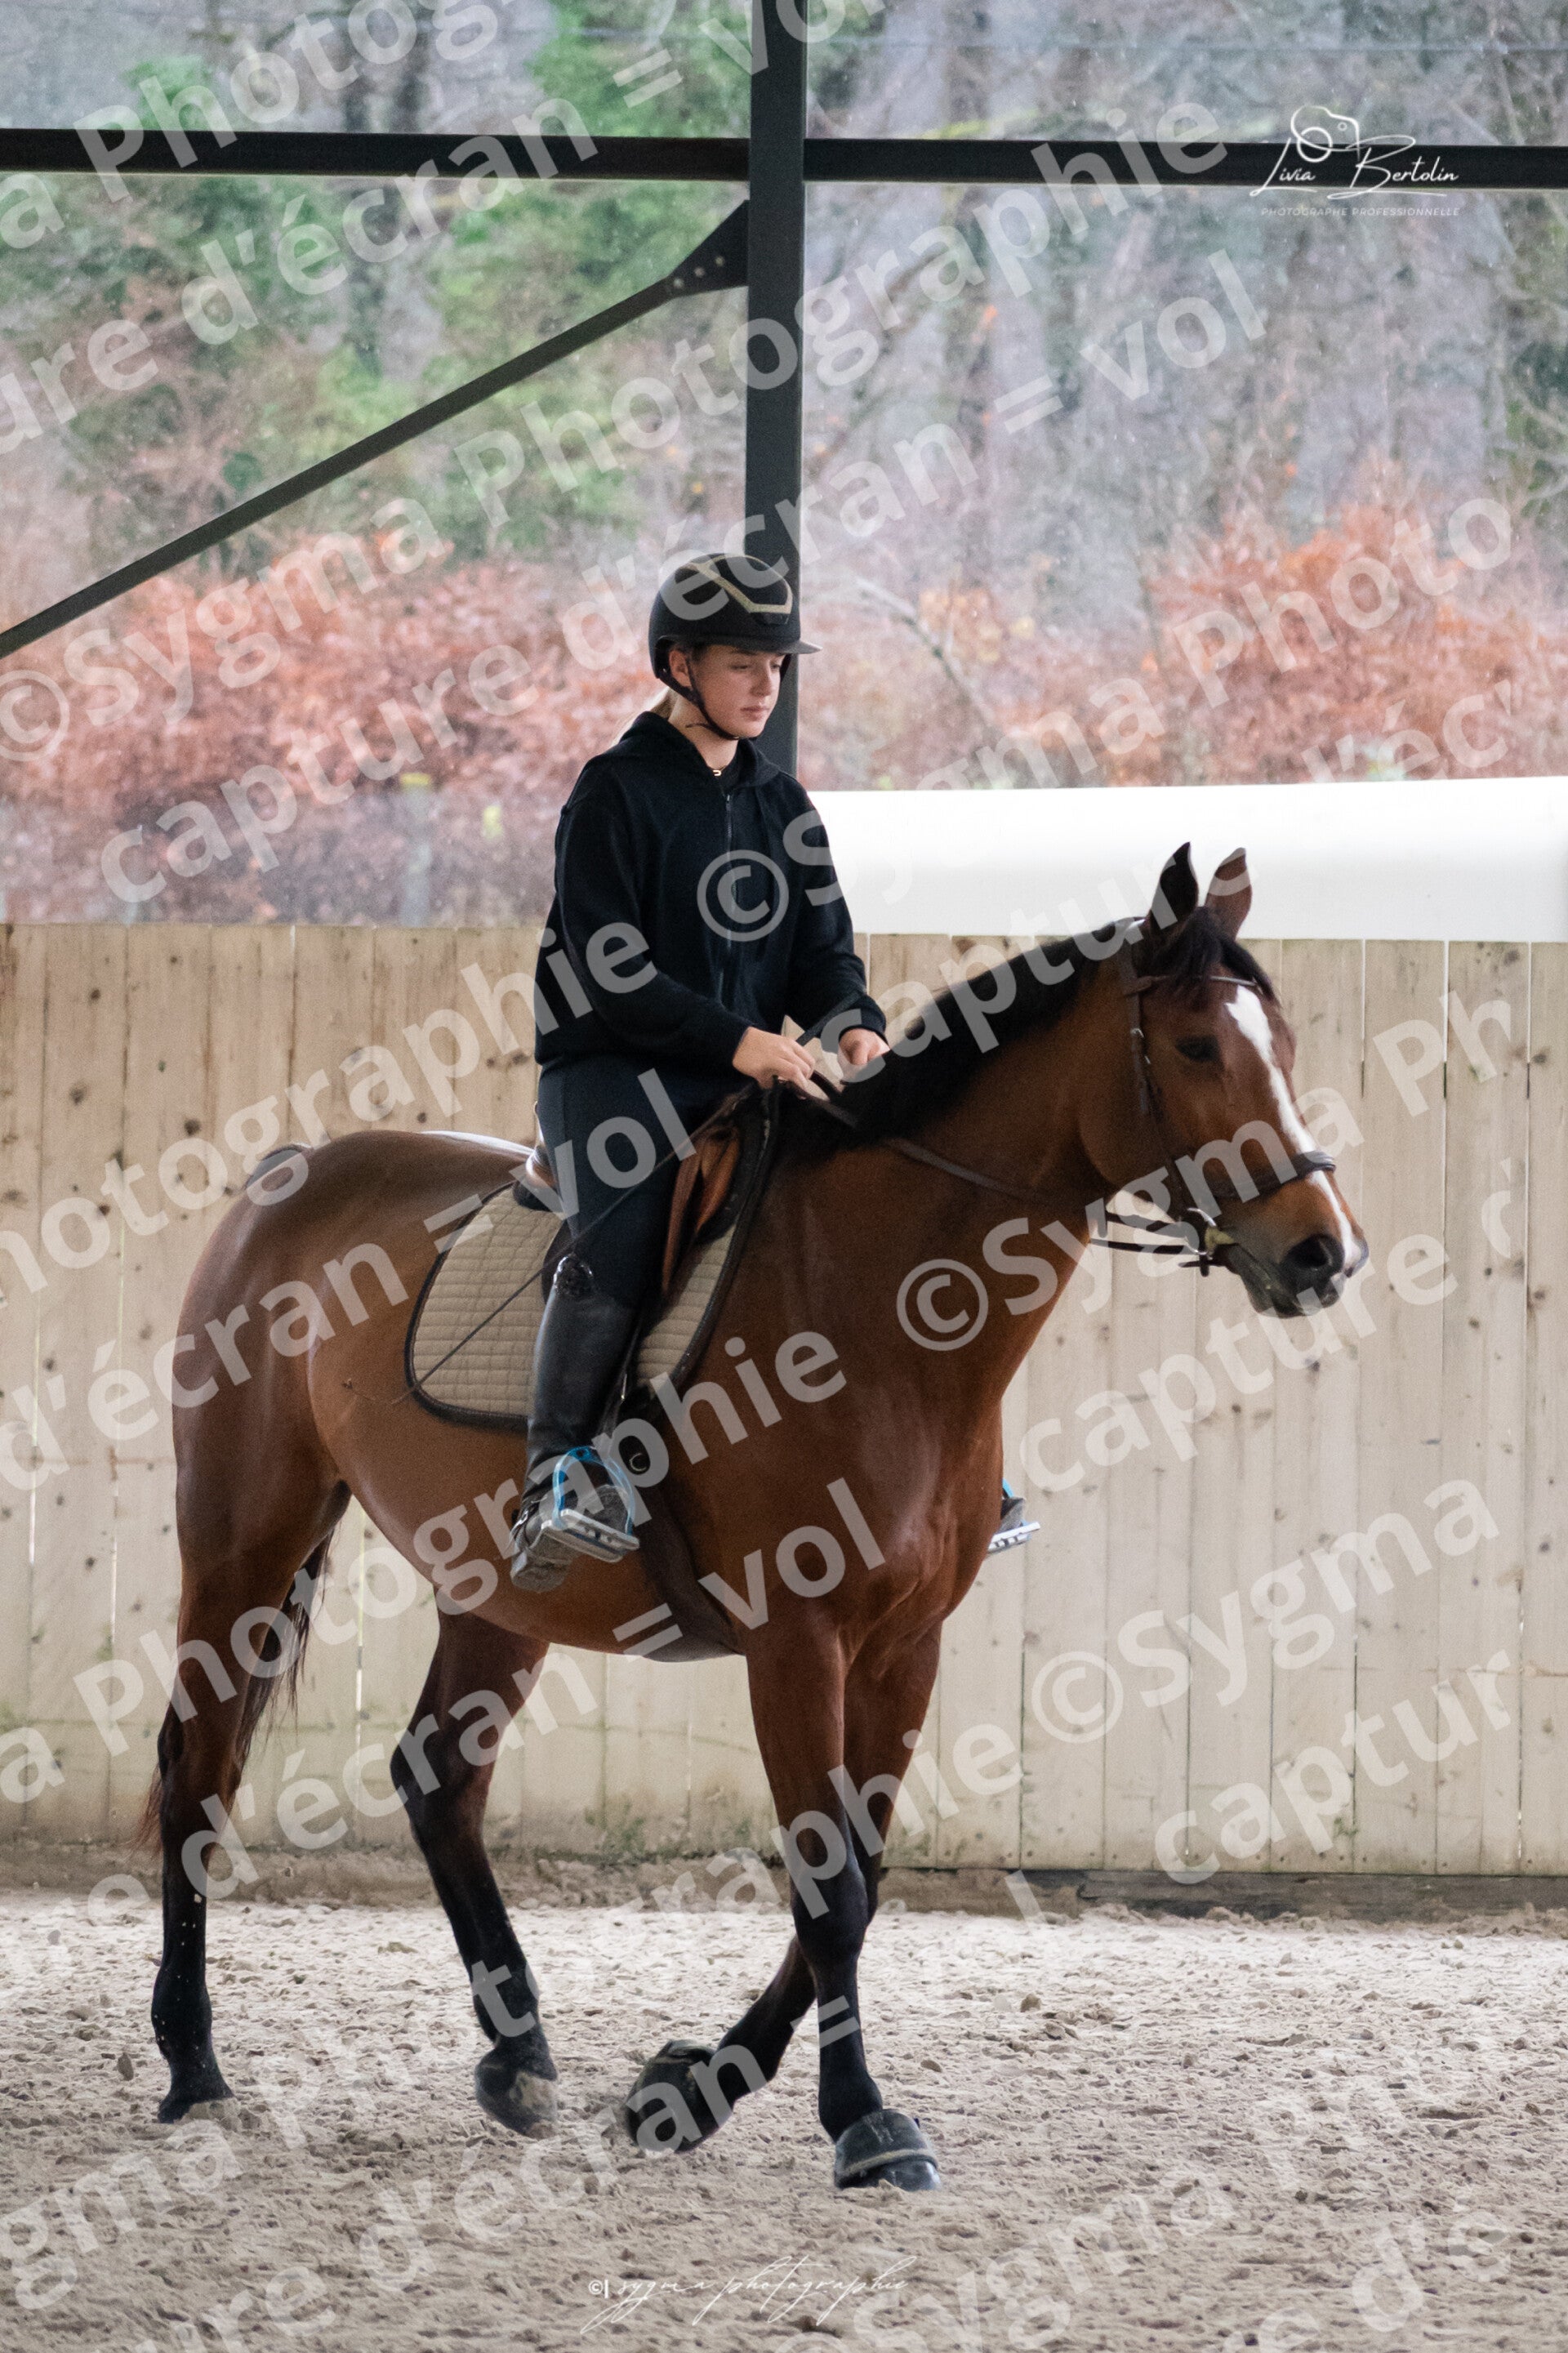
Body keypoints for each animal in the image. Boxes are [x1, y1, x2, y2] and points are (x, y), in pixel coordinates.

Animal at [144, 845, 1365, 2192]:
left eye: (1284, 1043)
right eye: (1198, 1046)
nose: (1323, 1254)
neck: (885, 1309)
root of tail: (283, 1177)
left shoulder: (902, 1647)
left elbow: (862, 1873)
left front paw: (693, 2087)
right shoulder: (797, 1641)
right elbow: (828, 1883)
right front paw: (862, 2119)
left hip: (501, 1589)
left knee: (438, 1776)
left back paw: (518, 2056)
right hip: (245, 1542)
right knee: (198, 1767)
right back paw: (195, 2067)